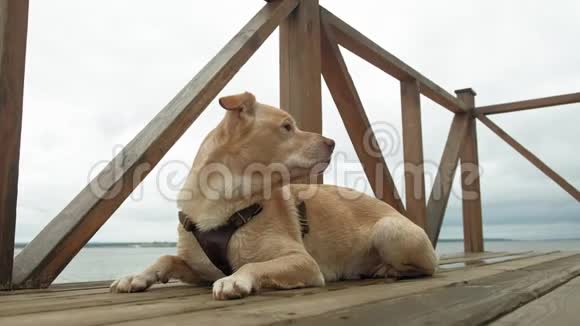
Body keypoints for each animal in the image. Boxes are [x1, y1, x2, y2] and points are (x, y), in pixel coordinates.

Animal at [111, 91, 436, 300]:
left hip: (389, 229)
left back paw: (386, 269)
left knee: (425, 268)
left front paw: (235, 280)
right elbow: (166, 257)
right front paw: (136, 276)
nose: (332, 142)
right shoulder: (199, 267)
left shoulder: (303, 261)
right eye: (287, 126)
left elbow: (254, 264)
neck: (225, 200)